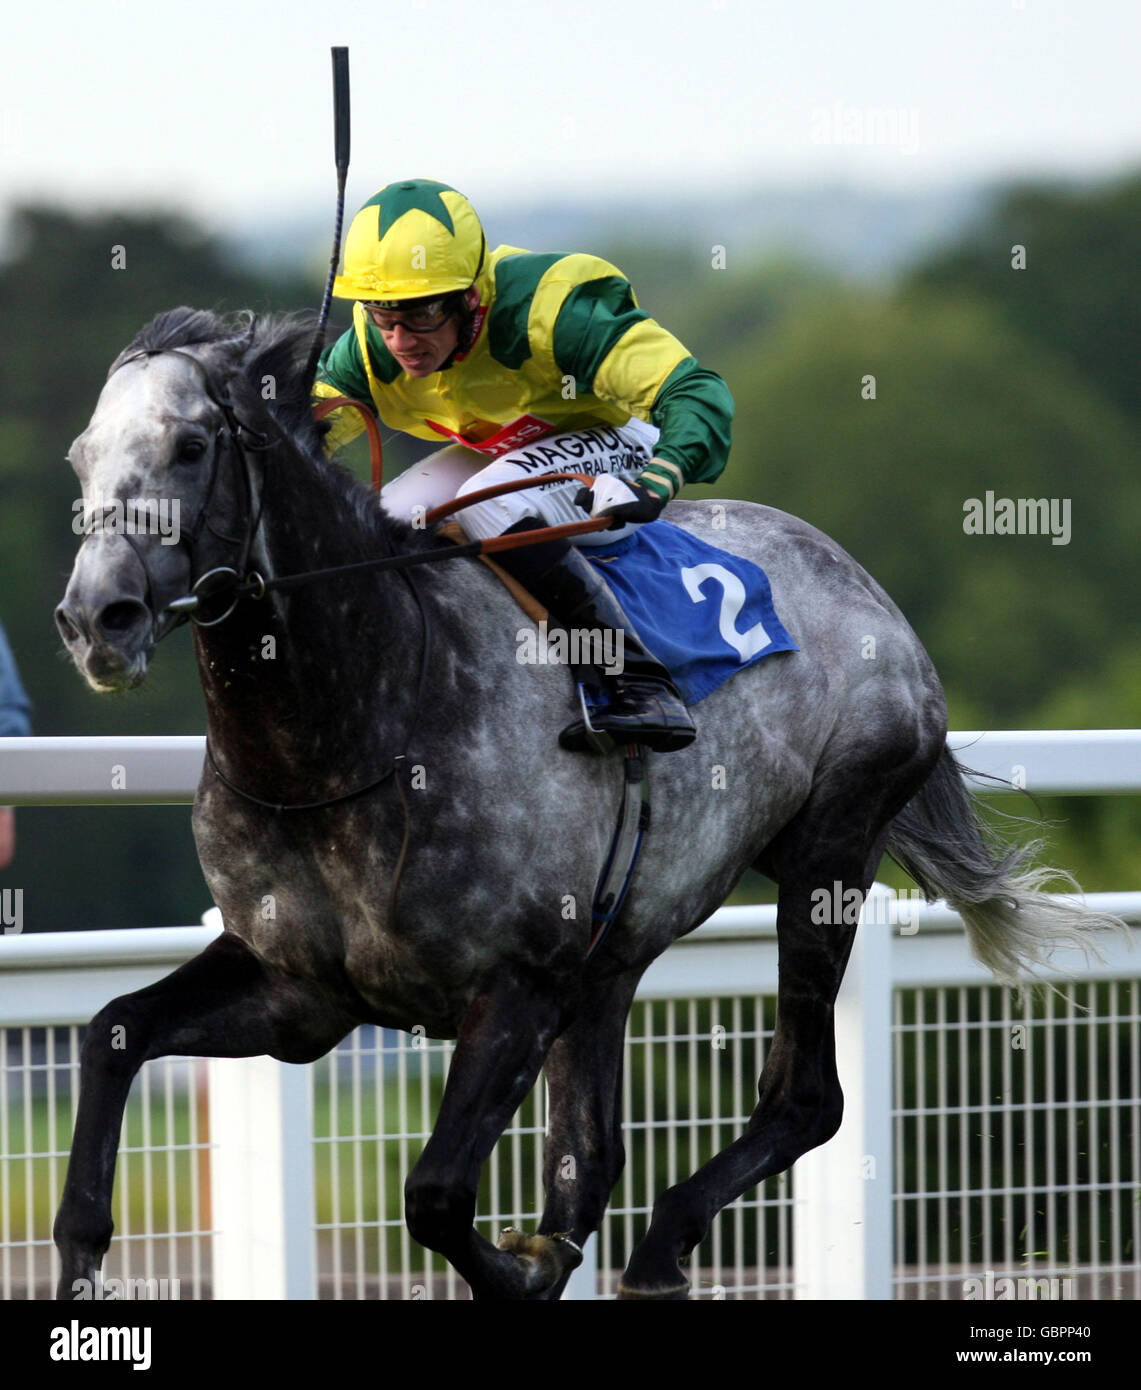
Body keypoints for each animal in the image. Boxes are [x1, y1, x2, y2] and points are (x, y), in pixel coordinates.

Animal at [52, 307, 1110, 1301]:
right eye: (80, 456)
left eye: (192, 447)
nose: (96, 619)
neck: (354, 733)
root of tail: (860, 581)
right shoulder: (298, 990)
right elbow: (111, 1033)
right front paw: (80, 1255)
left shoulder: (518, 982)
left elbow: (437, 1197)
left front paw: (521, 1266)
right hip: (616, 953)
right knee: (596, 1153)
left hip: (830, 849)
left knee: (804, 1097)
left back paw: (665, 1238)